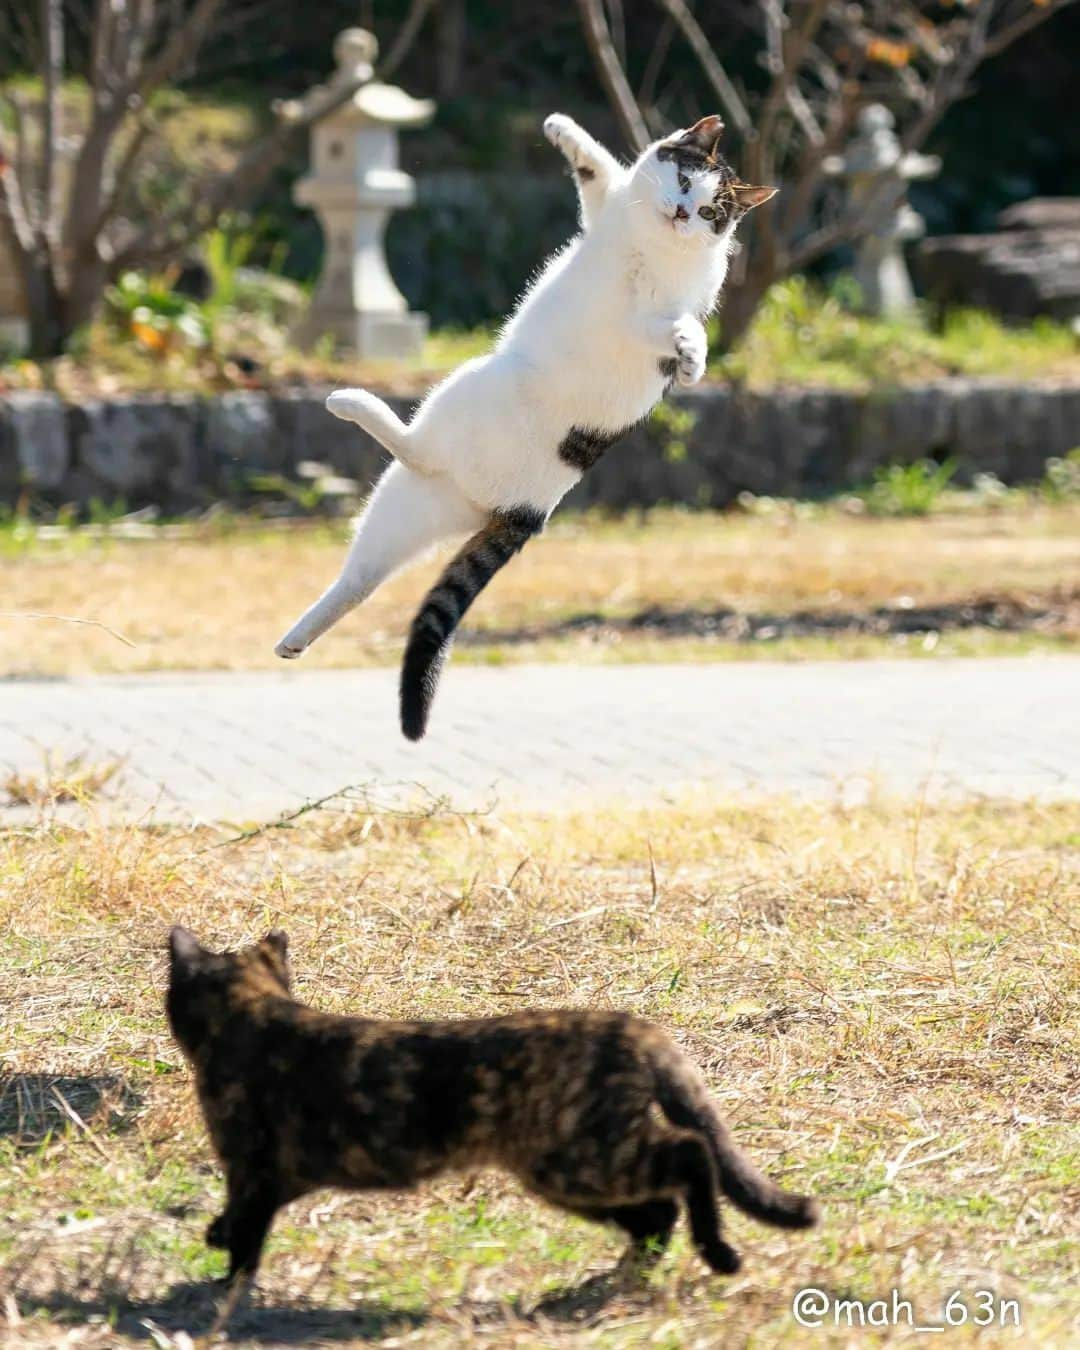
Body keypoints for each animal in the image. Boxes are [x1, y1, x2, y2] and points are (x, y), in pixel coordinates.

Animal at [164, 928, 815, 1285]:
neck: (252, 1014)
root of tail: (633, 1026)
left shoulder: (252, 1168)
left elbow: (247, 1234)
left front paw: (226, 1282)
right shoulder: (281, 1176)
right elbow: (240, 1220)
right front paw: (216, 1236)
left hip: (583, 1158)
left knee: (691, 1154)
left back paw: (719, 1253)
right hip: (568, 1173)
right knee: (657, 1209)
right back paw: (634, 1268)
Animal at [274, 114, 772, 739]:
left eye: (711, 212)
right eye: (684, 181)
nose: (683, 214)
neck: (649, 240)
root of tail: (531, 512)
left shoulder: (649, 317)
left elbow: (680, 328)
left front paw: (692, 356)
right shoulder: (607, 211)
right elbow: (596, 167)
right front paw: (562, 129)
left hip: (470, 384)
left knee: (415, 448)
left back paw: (352, 402)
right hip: (407, 507)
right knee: (362, 579)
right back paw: (296, 639)